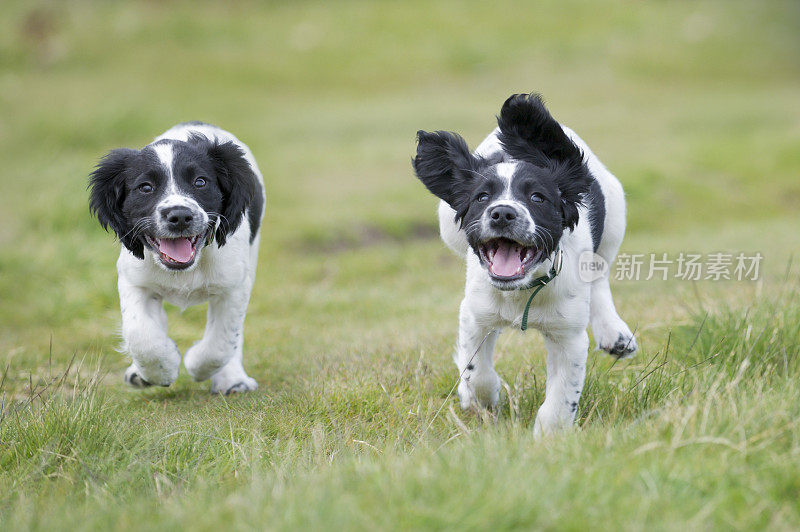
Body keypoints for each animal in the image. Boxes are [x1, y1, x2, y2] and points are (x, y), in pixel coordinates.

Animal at [88, 121, 266, 394]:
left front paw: (196, 364)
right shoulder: (134, 281)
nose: (180, 216)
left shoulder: (234, 285)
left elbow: (221, 343)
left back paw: (232, 378)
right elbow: (140, 334)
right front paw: (162, 369)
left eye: (200, 182)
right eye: (145, 187)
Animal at [412, 94, 636, 436]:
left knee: (599, 273)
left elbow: (562, 395)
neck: (521, 290)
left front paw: (548, 437)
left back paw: (616, 334)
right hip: (447, 227)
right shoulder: (476, 314)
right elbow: (476, 369)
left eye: (537, 198)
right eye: (481, 197)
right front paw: (479, 398)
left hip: (614, 217)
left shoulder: (569, 336)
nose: (502, 213)